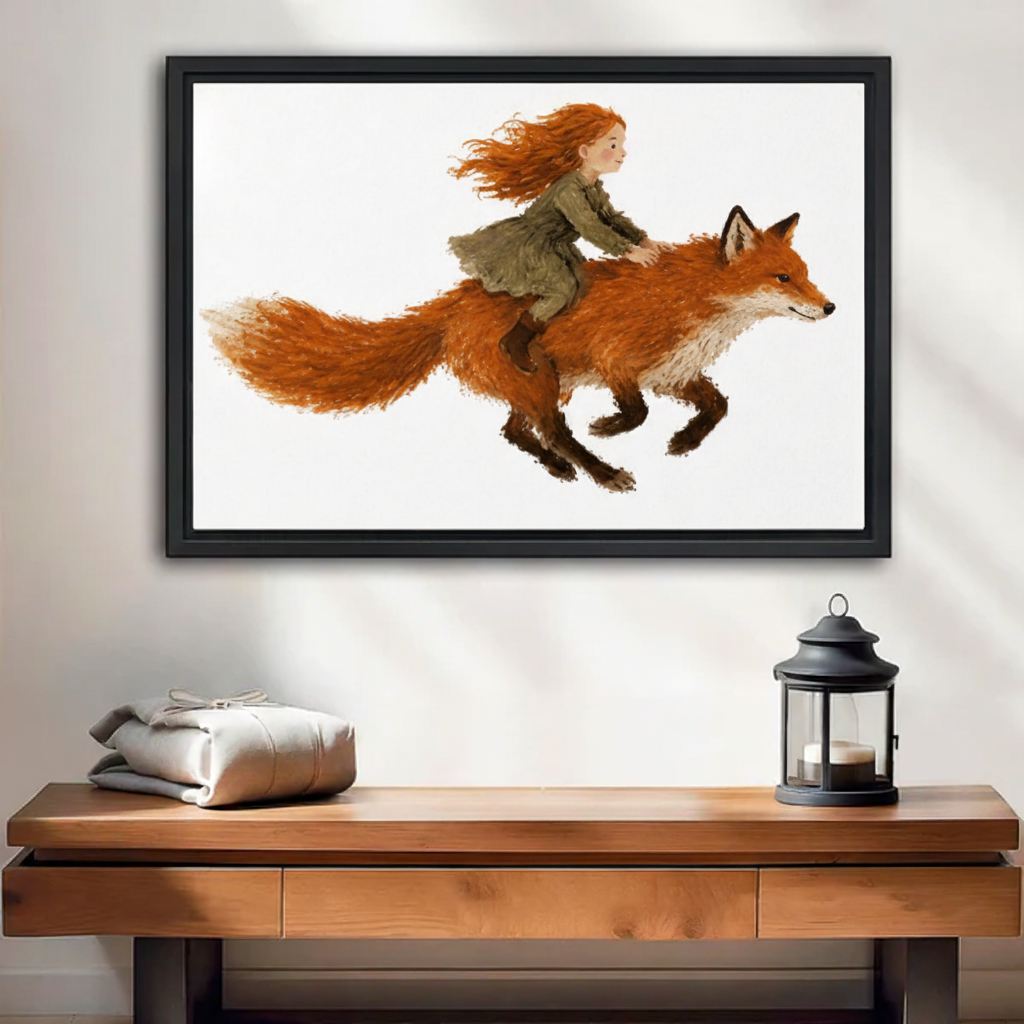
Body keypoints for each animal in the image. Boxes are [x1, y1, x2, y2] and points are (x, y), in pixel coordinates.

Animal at [204, 205, 834, 492]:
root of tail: (454, 301)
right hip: (543, 381)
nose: (830, 308)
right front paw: (611, 430)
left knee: (513, 431)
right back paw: (599, 470)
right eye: (782, 278)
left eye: (805, 274)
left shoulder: (674, 373)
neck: (693, 304)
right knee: (550, 430)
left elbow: (717, 406)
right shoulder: (618, 359)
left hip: (539, 386)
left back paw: (558, 468)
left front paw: (683, 442)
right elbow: (635, 411)